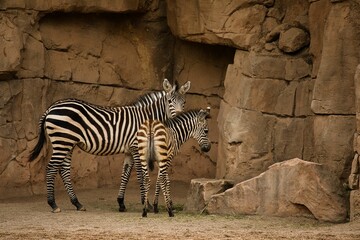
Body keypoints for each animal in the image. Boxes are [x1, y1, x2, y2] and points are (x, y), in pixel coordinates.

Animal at [28, 79, 191, 213]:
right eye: (169, 101)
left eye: (183, 102)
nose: (179, 117)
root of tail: (51, 108)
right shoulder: (136, 148)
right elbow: (140, 175)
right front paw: (147, 204)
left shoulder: (129, 150)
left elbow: (125, 174)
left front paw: (121, 204)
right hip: (62, 141)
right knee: (51, 168)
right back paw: (53, 204)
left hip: (68, 143)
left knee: (64, 170)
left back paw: (77, 203)